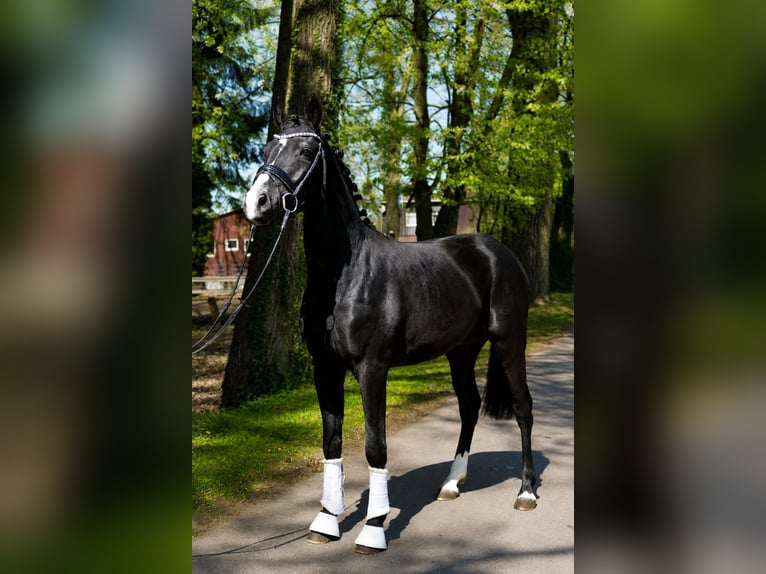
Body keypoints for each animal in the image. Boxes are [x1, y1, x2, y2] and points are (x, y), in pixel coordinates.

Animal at [243, 96, 537, 554]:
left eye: (306, 152)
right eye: (267, 149)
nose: (256, 203)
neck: (344, 274)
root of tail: (497, 251)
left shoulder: (372, 369)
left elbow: (375, 446)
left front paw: (374, 527)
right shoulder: (324, 369)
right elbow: (331, 442)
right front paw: (326, 520)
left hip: (510, 342)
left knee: (523, 407)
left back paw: (525, 492)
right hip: (461, 351)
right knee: (469, 406)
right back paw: (451, 483)